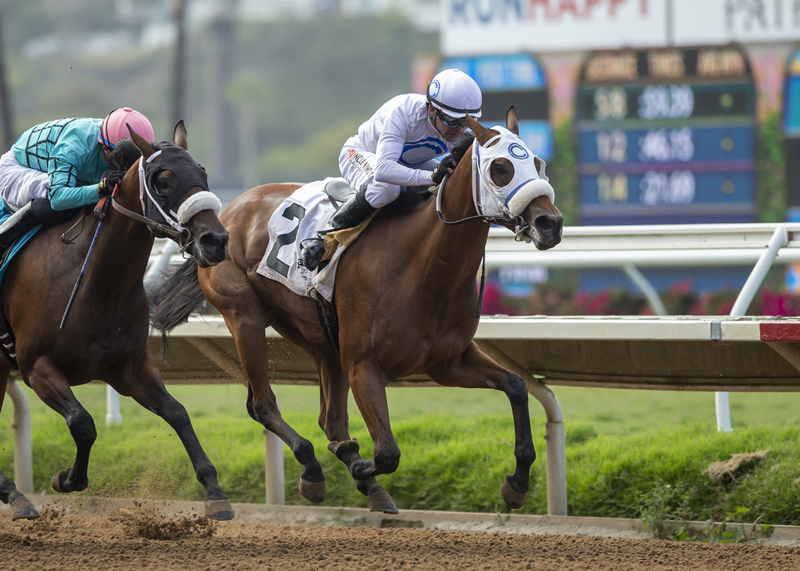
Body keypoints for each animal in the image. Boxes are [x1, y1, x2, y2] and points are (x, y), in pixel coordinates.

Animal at [0, 122, 234, 524]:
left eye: (202, 175)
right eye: (163, 180)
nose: (215, 240)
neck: (98, 280)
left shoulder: (127, 367)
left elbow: (178, 413)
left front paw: (215, 492)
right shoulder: (36, 366)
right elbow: (83, 424)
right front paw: (67, 479)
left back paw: (14, 494)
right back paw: (16, 496)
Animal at [150, 107, 564, 512]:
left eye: (539, 163)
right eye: (500, 168)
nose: (551, 223)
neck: (424, 266)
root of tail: (225, 213)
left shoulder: (447, 361)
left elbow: (516, 386)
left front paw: (517, 483)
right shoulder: (365, 365)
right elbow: (387, 453)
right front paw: (360, 467)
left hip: (318, 336)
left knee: (330, 419)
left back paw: (358, 481)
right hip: (245, 318)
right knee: (263, 405)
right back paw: (315, 470)